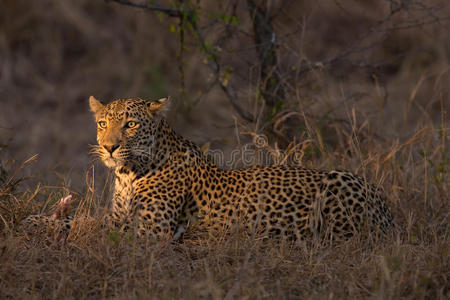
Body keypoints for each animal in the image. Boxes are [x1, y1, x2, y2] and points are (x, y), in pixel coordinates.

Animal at [21, 96, 394, 241]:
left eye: (129, 124)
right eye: (102, 123)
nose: (109, 147)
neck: (127, 174)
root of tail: (386, 204)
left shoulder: (150, 232)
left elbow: (92, 232)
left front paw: (46, 224)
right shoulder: (118, 216)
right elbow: (90, 222)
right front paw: (44, 217)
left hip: (338, 192)